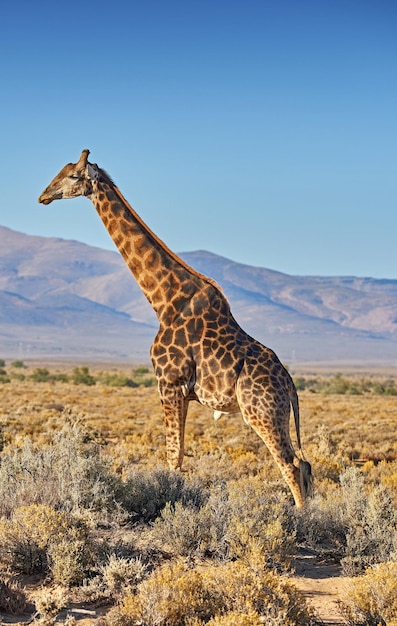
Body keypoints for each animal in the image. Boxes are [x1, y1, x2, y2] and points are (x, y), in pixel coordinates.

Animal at [38, 149, 310, 504]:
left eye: (72, 176)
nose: (43, 196)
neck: (164, 301)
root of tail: (289, 385)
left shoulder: (168, 382)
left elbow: (173, 456)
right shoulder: (181, 391)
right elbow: (178, 455)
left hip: (261, 411)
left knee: (290, 465)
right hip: (276, 413)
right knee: (305, 466)